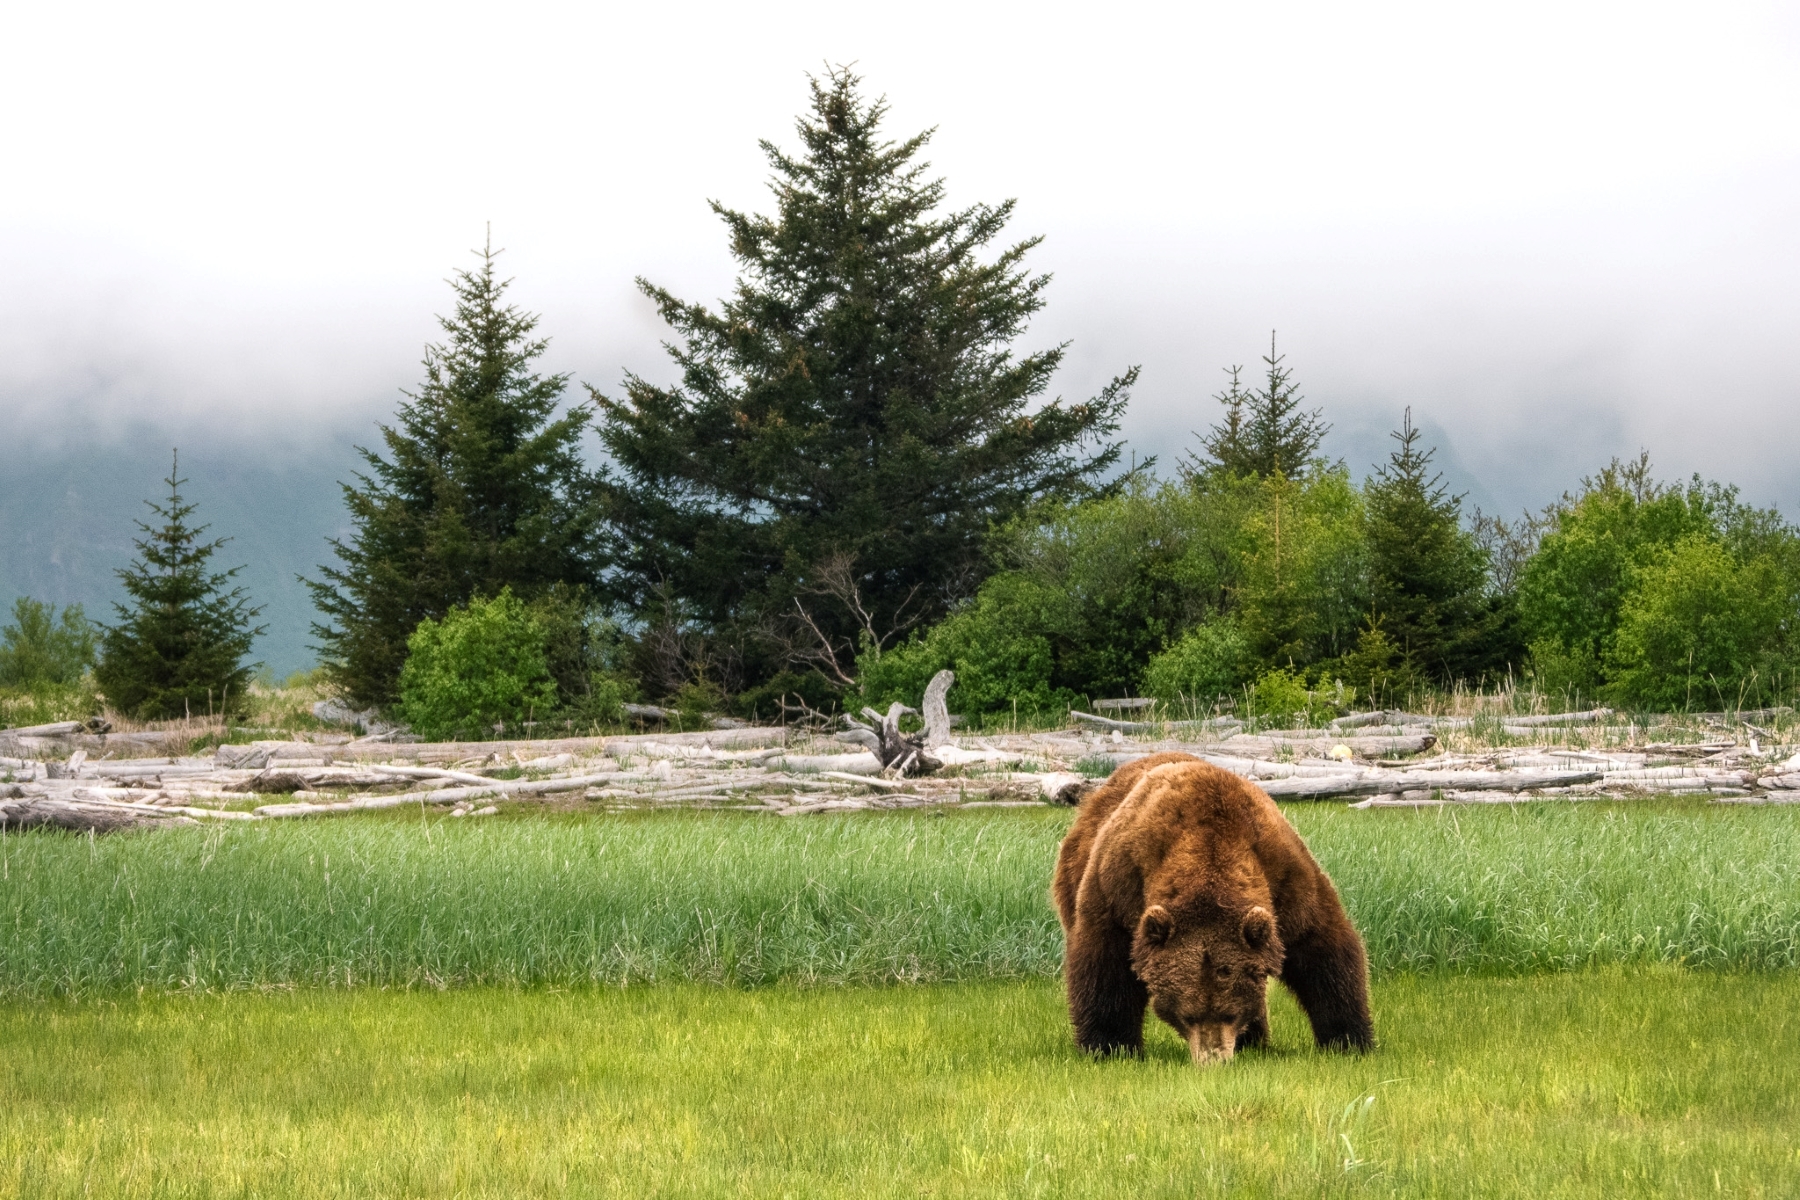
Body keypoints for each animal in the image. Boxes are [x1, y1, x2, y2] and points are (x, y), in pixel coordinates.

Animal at [1052, 752, 1374, 1064]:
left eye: (1230, 1013)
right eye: (1187, 1015)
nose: (1213, 1060)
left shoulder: (1286, 879)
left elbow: (1324, 951)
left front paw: (1348, 1041)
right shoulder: (1121, 883)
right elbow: (1106, 963)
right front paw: (1110, 1046)